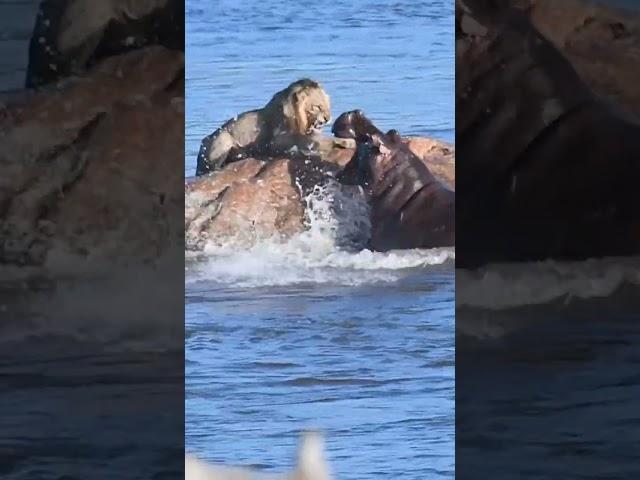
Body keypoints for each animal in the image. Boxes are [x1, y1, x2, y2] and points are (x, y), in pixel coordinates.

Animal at [195, 79, 336, 176]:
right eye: (317, 107)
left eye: (327, 105)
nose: (328, 119)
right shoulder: (275, 141)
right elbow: (300, 139)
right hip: (223, 136)